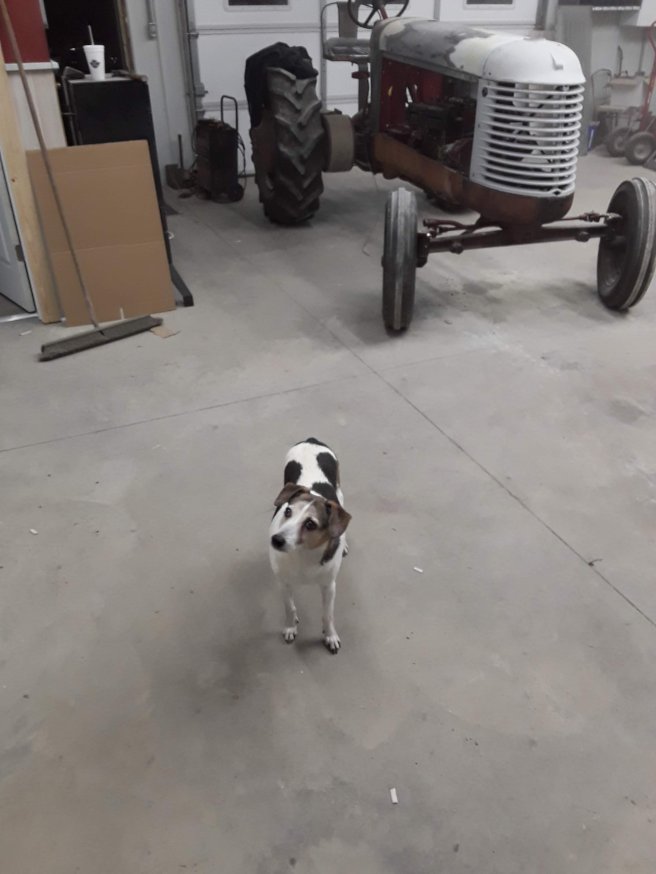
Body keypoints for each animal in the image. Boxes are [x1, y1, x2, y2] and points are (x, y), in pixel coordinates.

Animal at [269, 438, 352, 653]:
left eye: (310, 524)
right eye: (287, 511)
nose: (276, 540)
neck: (303, 554)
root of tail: (311, 440)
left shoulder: (329, 586)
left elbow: (327, 615)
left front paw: (330, 636)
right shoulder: (283, 583)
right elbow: (290, 608)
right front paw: (290, 627)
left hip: (340, 493)